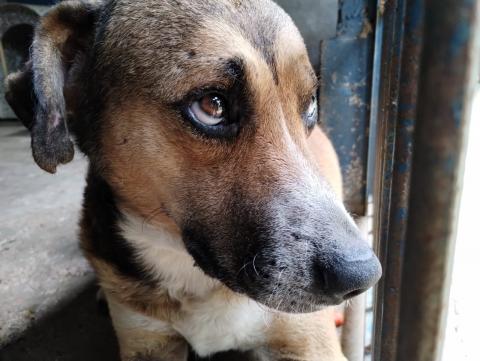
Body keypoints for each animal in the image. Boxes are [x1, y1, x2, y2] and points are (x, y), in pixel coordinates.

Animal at [2, 0, 378, 360]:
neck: (191, 270)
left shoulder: (307, 344)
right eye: (212, 105)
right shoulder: (147, 342)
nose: (362, 276)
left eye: (310, 104)